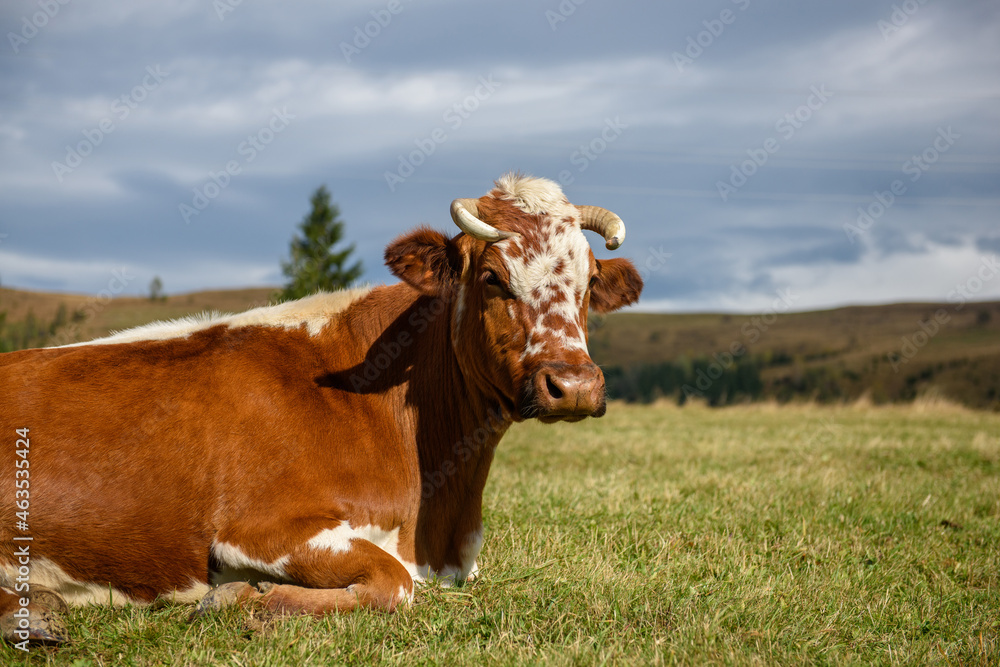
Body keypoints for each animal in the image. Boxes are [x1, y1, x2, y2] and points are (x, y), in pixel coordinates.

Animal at [0, 175, 640, 644]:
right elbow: (392, 582)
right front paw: (246, 600)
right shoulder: (256, 530)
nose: (573, 385)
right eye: (491, 277)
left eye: (588, 283)